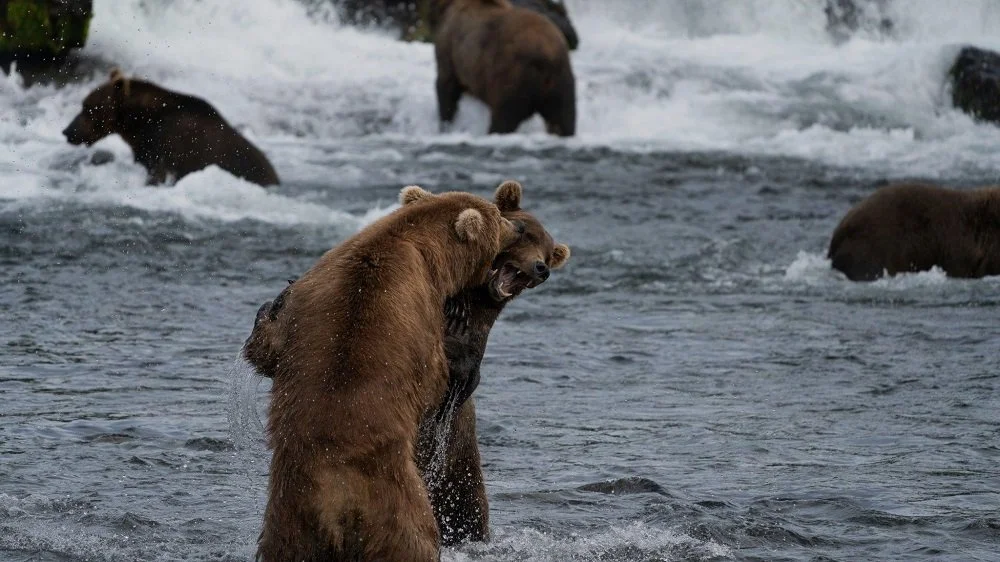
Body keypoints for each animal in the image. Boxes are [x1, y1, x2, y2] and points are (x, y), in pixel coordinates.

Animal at [245, 185, 521, 562]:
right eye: (497, 218)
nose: (517, 227)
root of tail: (335, 503)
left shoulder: (313, 288)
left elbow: (267, 351)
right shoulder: (421, 305)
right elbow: (434, 376)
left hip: (289, 514)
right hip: (396, 507)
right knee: (415, 539)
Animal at [433, 0, 576, 136]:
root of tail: (547, 55)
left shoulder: (451, 53)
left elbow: (446, 89)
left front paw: (445, 125)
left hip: (511, 78)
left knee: (503, 120)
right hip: (561, 84)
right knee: (563, 121)